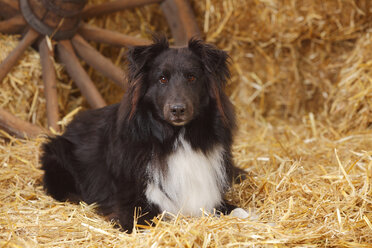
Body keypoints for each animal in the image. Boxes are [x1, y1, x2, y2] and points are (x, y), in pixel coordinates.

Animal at [40, 36, 246, 232]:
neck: (177, 137)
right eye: (162, 79)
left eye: (192, 78)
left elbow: (237, 210)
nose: (178, 110)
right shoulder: (133, 205)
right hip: (58, 152)